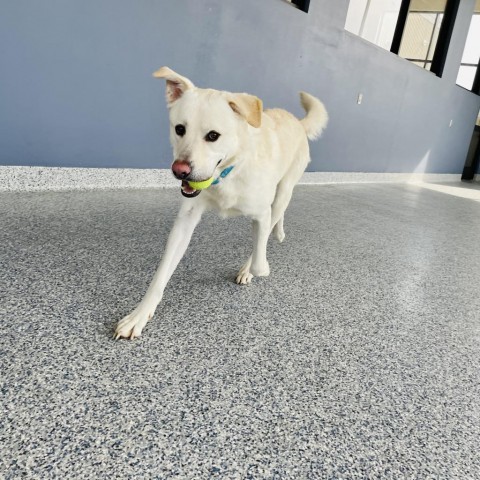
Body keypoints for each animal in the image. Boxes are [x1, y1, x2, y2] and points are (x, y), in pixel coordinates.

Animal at [114, 67, 328, 340]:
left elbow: (259, 253)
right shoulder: (185, 220)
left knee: (275, 216)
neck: (228, 173)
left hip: (284, 191)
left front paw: (256, 268)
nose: (180, 171)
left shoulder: (261, 213)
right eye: (179, 129)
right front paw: (139, 315)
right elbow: (160, 275)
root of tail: (298, 122)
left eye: (213, 136)